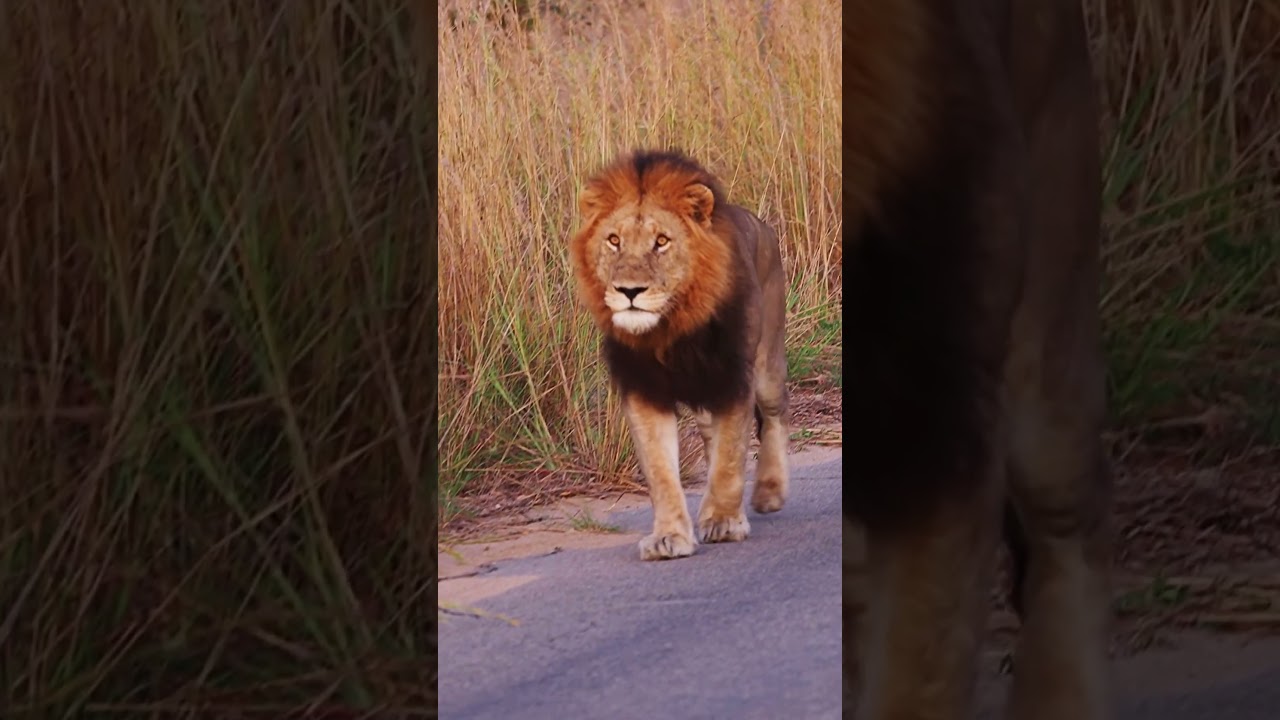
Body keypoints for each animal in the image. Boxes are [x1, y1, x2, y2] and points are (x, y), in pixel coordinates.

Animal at [569, 150, 790, 562]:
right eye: (613, 240)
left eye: (662, 241)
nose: (629, 291)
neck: (670, 328)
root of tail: (765, 227)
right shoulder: (644, 391)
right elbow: (661, 471)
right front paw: (670, 536)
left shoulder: (732, 379)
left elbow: (730, 458)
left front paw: (724, 521)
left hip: (767, 364)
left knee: (775, 415)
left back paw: (769, 492)